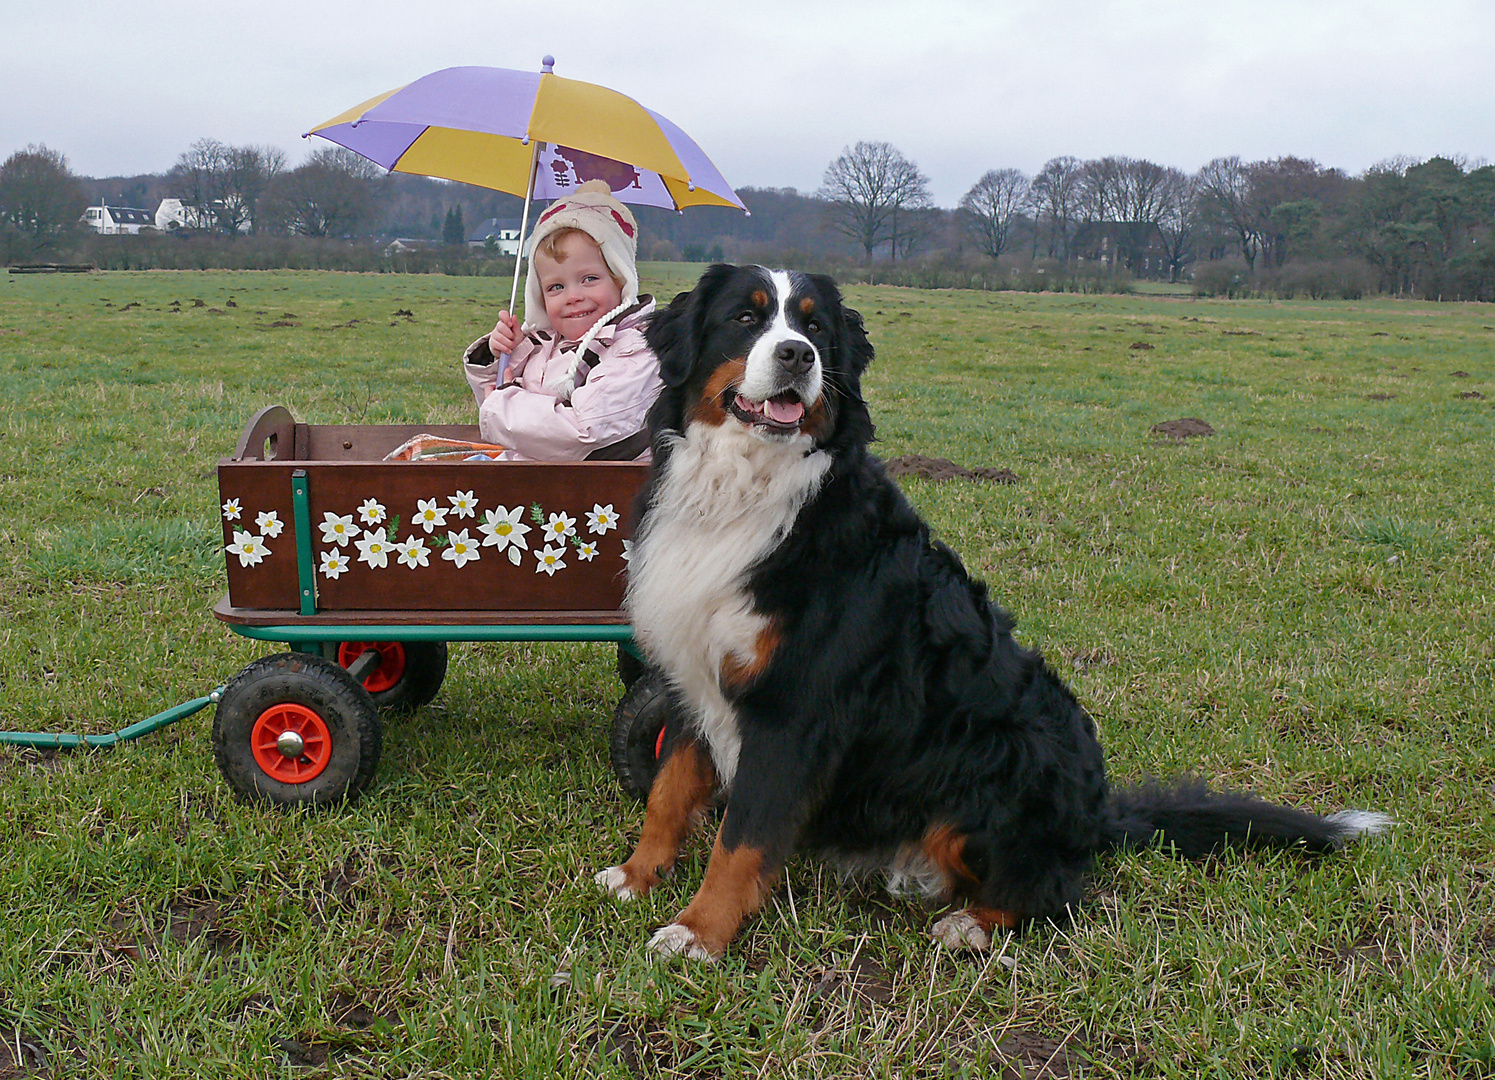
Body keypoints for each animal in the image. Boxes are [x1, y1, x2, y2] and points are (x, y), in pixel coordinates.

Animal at [592, 264, 1387, 957]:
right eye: (746, 318)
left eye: (814, 328)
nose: (797, 356)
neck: (746, 494)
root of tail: (1099, 813)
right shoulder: (694, 677)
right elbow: (669, 794)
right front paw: (636, 877)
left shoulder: (790, 714)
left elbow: (740, 840)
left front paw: (698, 932)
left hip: (1004, 763)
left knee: (1055, 890)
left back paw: (971, 924)